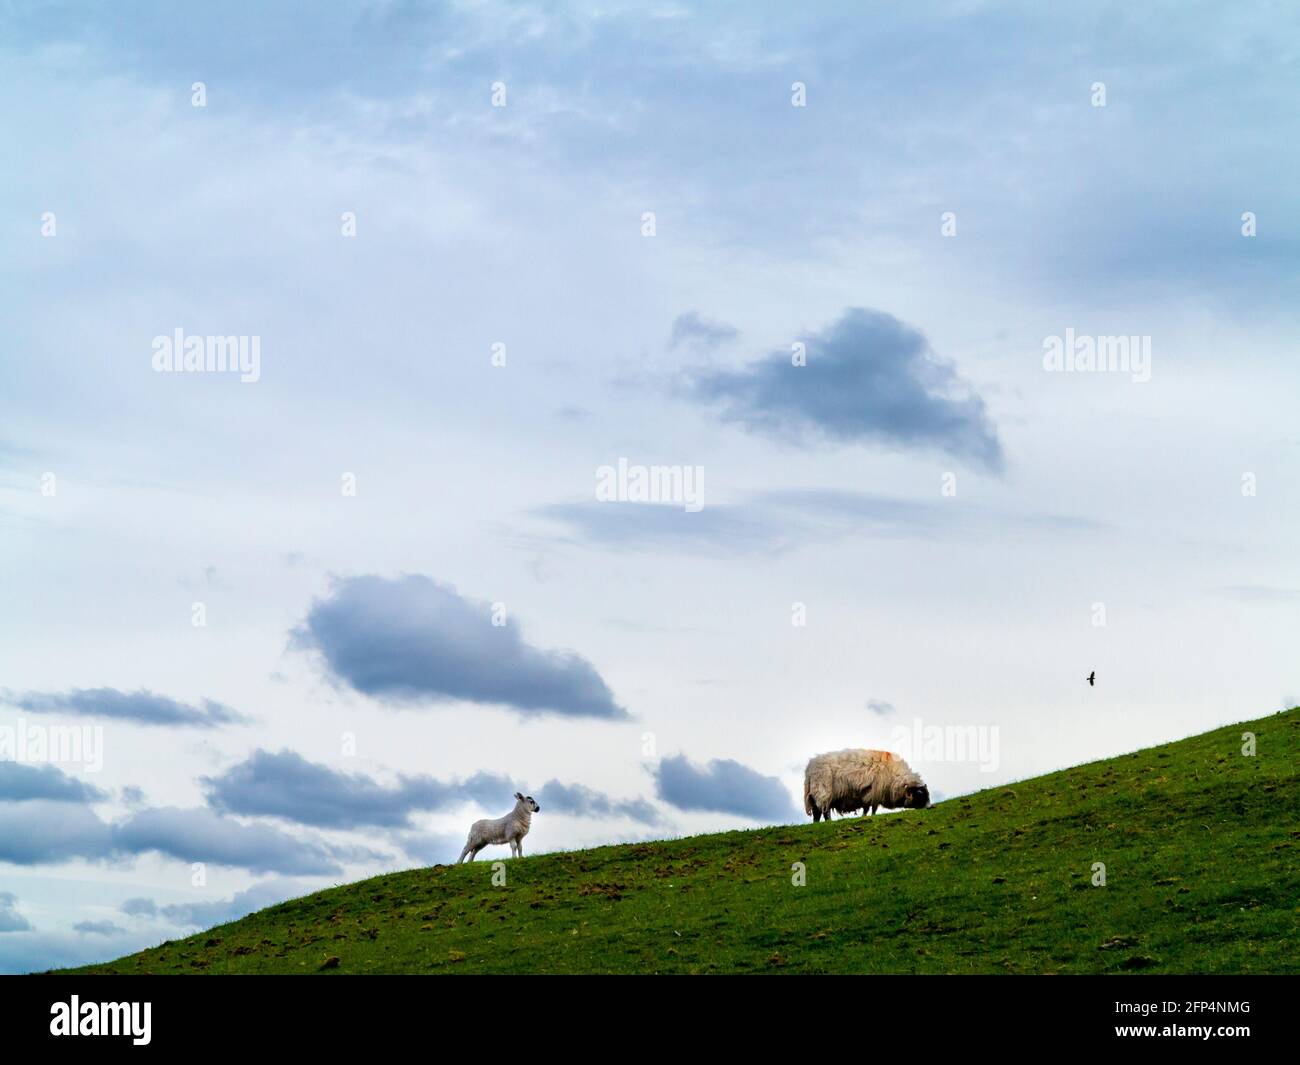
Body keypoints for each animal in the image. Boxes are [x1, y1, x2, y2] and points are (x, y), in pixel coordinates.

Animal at [795, 749, 930, 827]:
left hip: (814, 795)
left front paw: (864, 816)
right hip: (823, 792)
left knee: (817, 813)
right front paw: (870, 816)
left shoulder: (869, 794)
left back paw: (816, 824)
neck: (895, 778)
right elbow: (872, 808)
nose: (930, 807)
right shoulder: (876, 792)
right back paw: (828, 822)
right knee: (824, 810)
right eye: (919, 794)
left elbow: (867, 807)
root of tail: (809, 769)